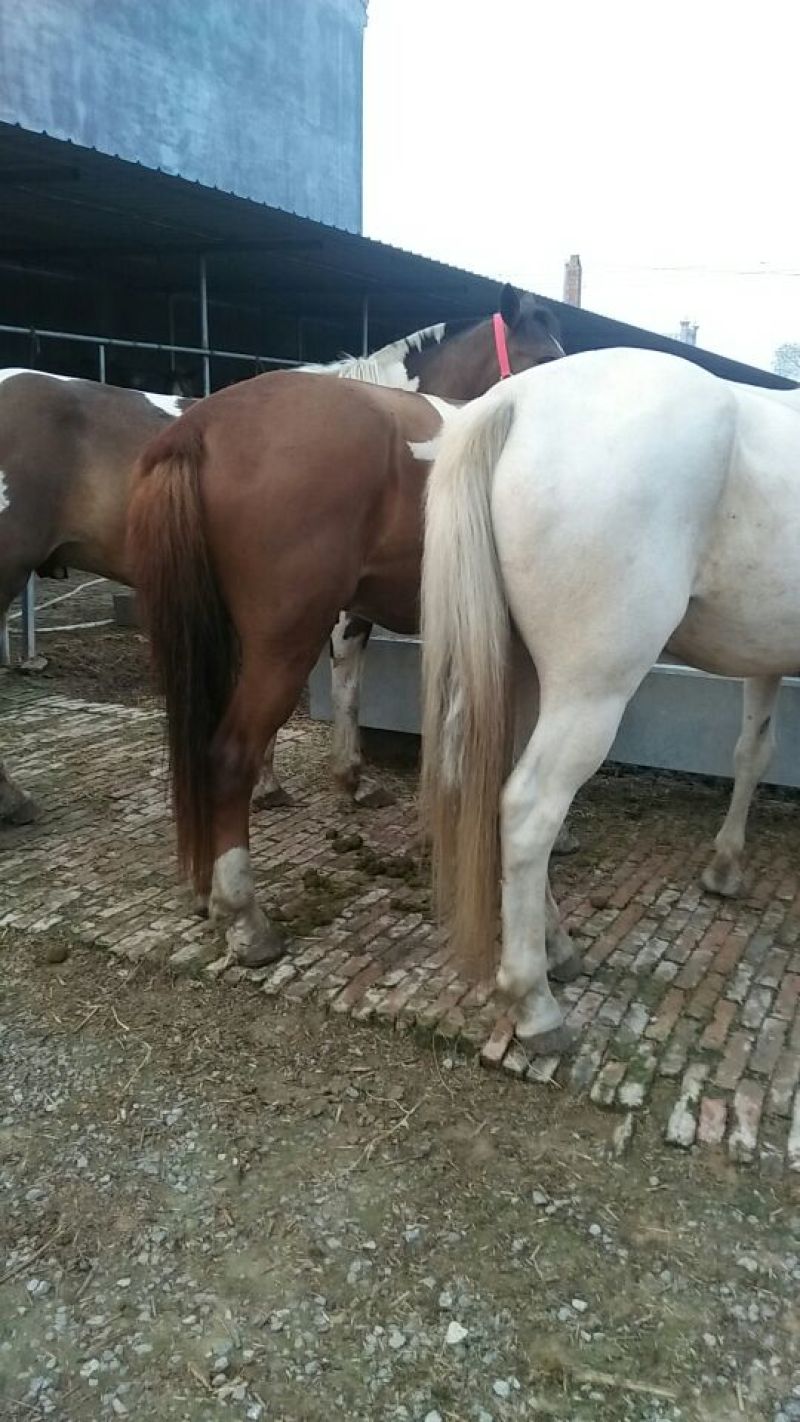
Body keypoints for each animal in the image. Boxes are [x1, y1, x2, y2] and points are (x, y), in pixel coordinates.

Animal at [420, 347, 800, 1054]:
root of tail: (517, 399)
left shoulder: (764, 656)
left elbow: (753, 752)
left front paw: (726, 865)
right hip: (589, 692)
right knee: (530, 808)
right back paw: (536, 1004)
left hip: (524, 679)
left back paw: (557, 947)